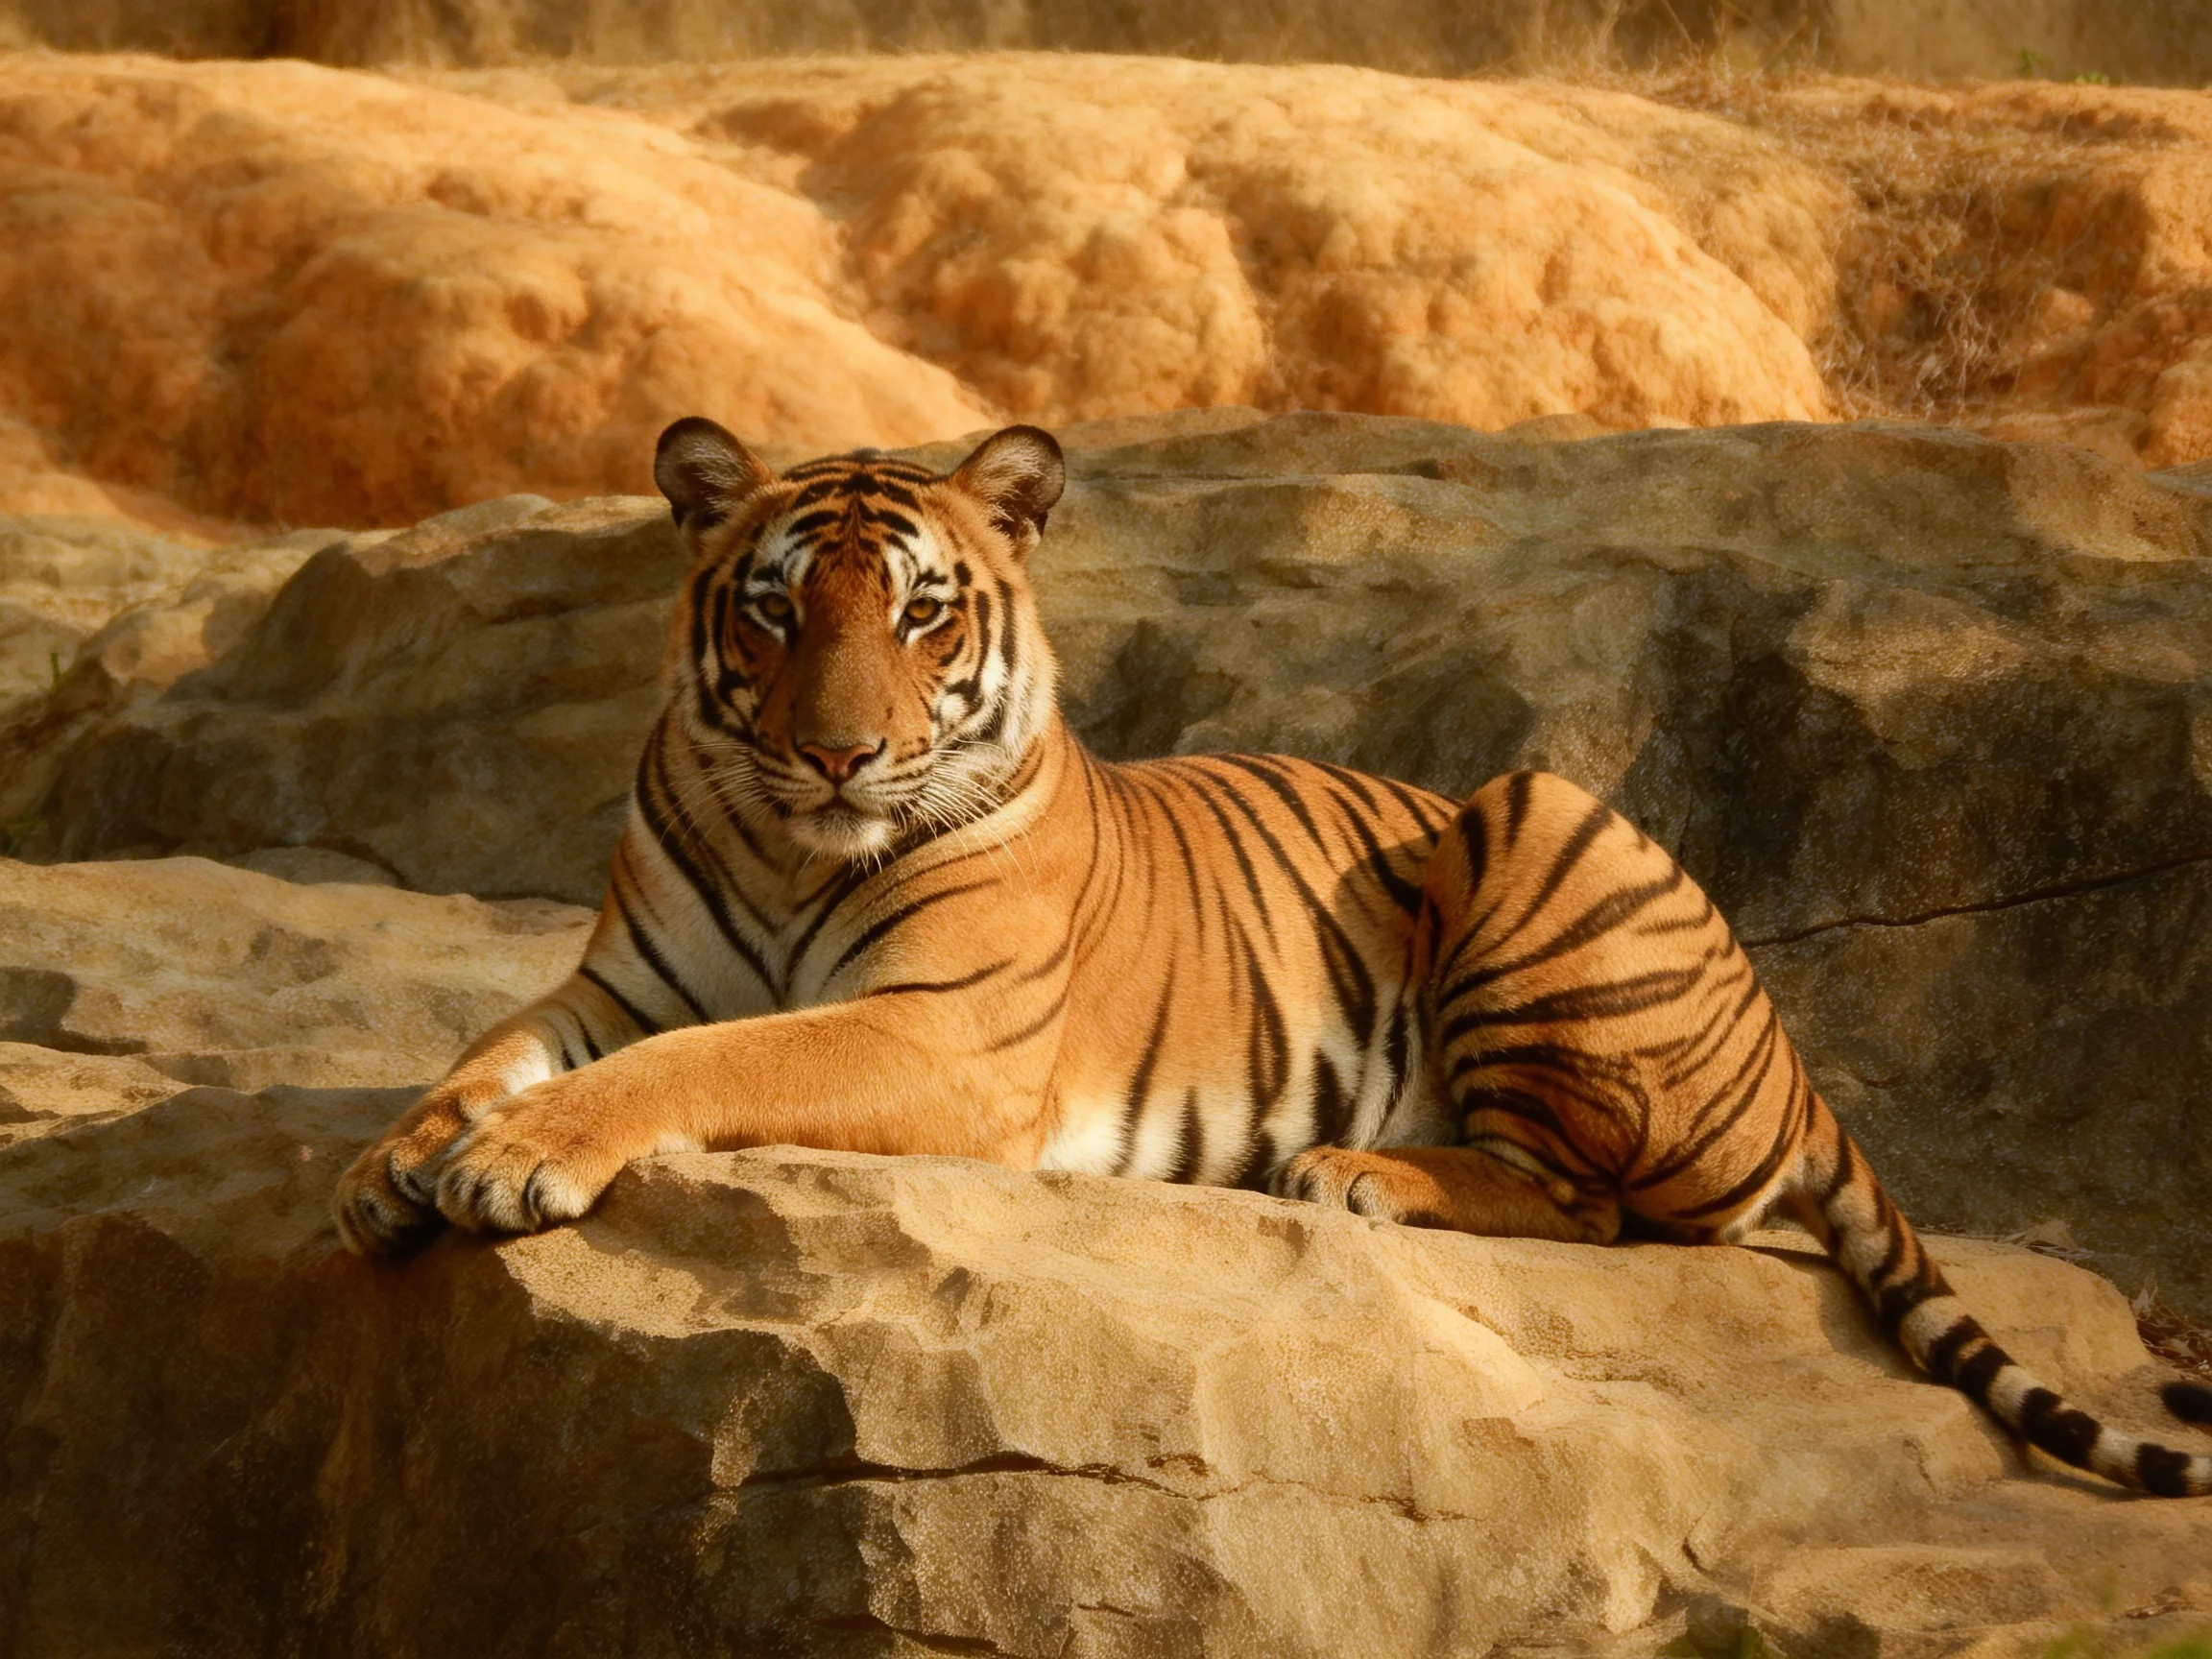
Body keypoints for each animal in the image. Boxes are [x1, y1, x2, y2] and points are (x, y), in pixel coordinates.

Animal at [333, 417, 2212, 1497]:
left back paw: (1356, 1173)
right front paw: (390, 1164)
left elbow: (708, 1062)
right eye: (776, 606)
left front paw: (504, 1162)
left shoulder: (939, 1032)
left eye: (923, 613)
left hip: (1534, 812)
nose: (841, 754)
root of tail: (1798, 1057)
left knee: (1610, 1205)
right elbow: (490, 1047)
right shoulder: (613, 981)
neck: (788, 844)